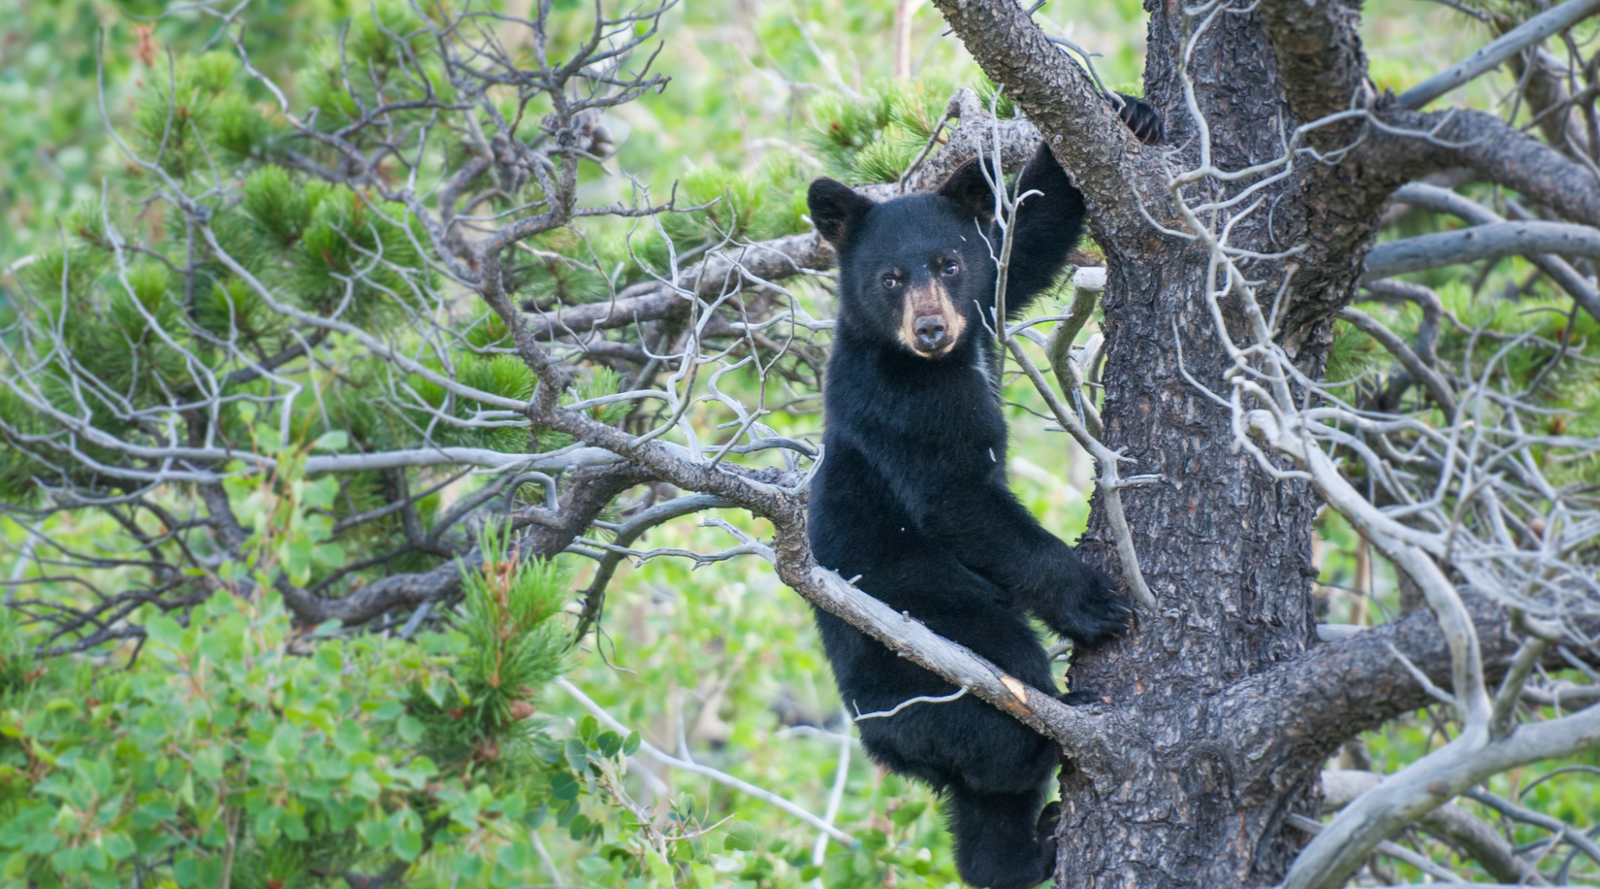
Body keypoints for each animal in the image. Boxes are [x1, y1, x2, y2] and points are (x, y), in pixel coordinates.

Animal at [804, 96, 1160, 889]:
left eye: (948, 262)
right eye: (890, 277)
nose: (933, 327)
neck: (931, 365)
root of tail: (887, 746)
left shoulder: (984, 312)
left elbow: (1025, 242)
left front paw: (1125, 115)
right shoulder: (902, 406)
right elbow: (958, 498)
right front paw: (1094, 601)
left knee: (983, 809)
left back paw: (1030, 848)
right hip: (931, 628)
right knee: (999, 702)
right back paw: (1058, 717)